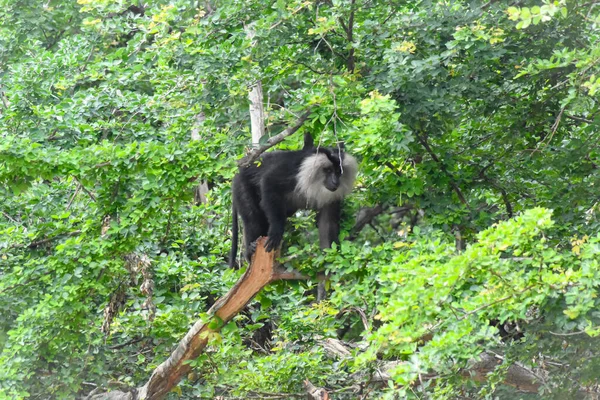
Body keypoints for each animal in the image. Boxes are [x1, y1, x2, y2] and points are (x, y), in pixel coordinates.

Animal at [230, 133, 358, 268]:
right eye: (328, 170)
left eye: (338, 172)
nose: (335, 182)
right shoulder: (292, 171)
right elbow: (269, 181)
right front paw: (276, 231)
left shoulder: (331, 197)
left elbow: (327, 223)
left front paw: (329, 259)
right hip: (241, 184)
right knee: (253, 218)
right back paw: (250, 252)